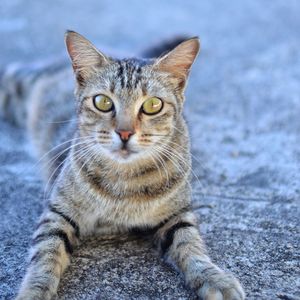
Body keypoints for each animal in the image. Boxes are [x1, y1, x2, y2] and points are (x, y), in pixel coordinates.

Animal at [0, 31, 244, 300]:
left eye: (153, 105)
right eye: (103, 102)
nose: (125, 133)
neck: (125, 182)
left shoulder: (177, 215)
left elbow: (190, 244)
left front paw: (214, 277)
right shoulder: (58, 212)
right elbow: (46, 254)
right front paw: (34, 290)